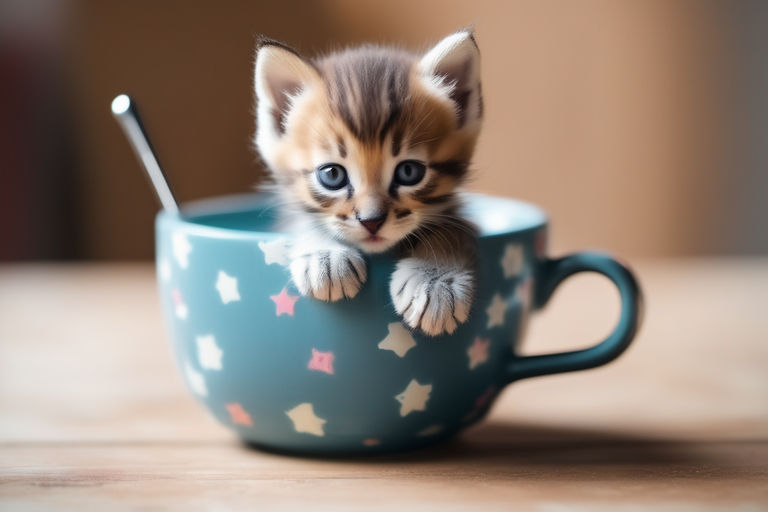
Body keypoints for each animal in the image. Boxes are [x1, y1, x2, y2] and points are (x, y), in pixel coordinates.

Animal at [255, 31, 484, 336]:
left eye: (409, 171)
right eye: (332, 175)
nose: (371, 221)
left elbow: (451, 229)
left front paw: (436, 281)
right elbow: (303, 220)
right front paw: (325, 257)